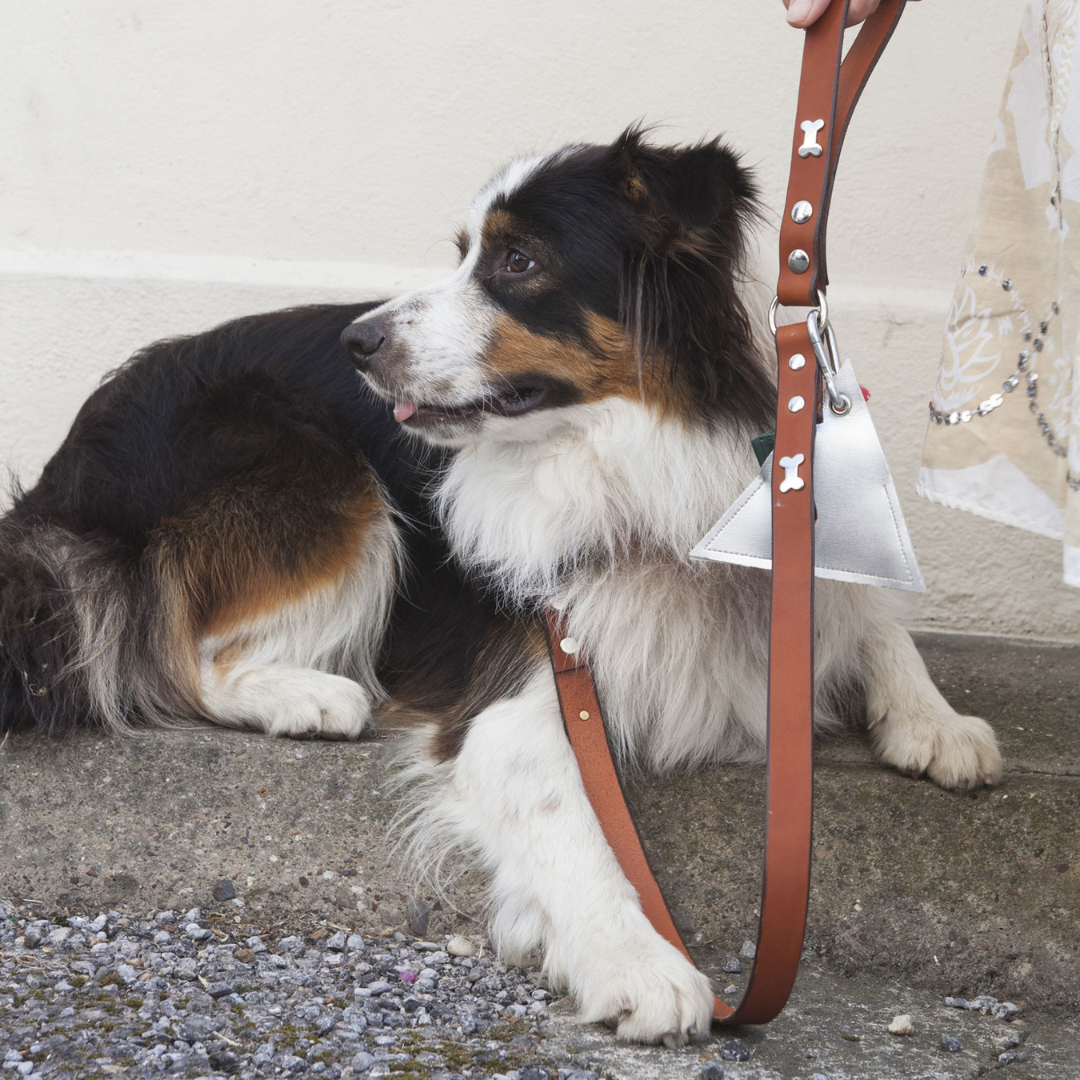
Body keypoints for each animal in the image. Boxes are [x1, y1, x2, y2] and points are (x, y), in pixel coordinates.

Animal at [0, 126, 997, 1045]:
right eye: (465, 253)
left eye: (518, 261)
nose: (358, 341)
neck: (622, 450)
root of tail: (71, 467)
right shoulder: (522, 692)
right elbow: (574, 824)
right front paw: (641, 965)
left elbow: (868, 612)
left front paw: (934, 719)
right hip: (319, 468)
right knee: (172, 649)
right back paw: (310, 697)